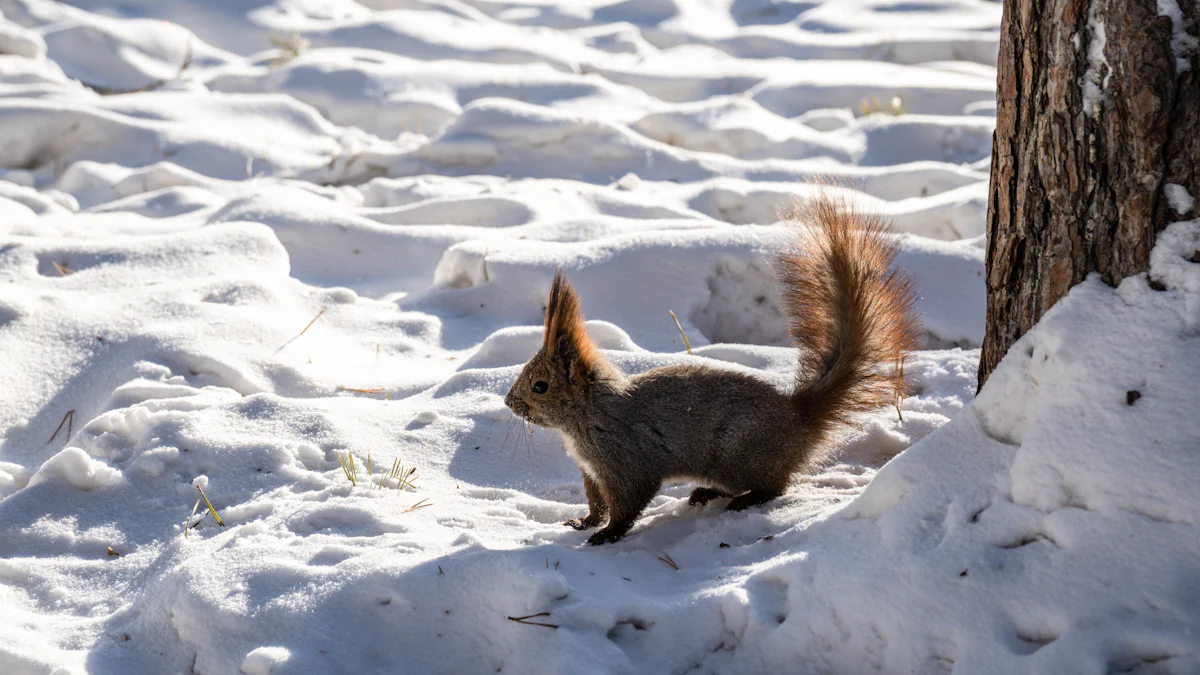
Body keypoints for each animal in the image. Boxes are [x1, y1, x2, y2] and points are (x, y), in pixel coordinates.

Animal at [501, 193, 921, 540]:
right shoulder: (592, 471)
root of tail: (799, 418)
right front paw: (585, 522)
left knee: (776, 486)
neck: (590, 413)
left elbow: (628, 501)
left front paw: (608, 534)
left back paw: (743, 498)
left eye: (540, 385)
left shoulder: (627, 460)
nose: (508, 402)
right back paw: (706, 492)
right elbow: (597, 502)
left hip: (738, 456)